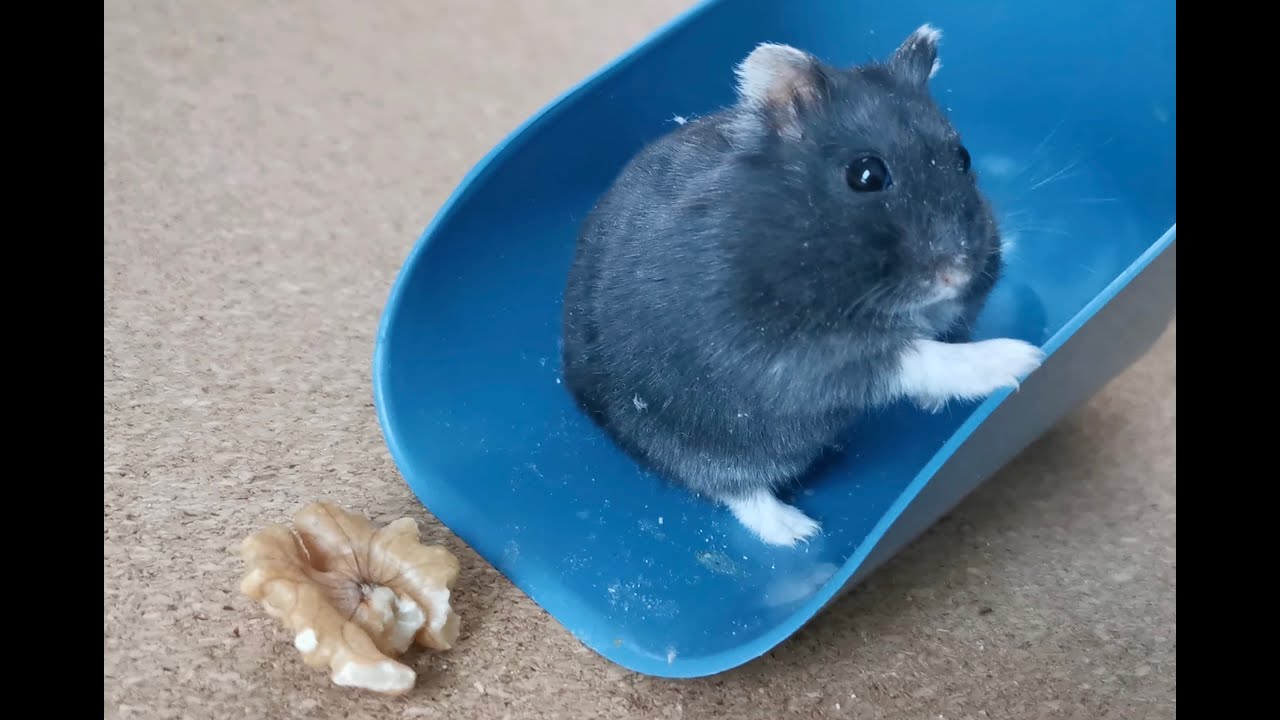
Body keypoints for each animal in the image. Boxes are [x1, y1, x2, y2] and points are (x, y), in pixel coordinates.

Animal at [560, 25, 1044, 547]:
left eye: (963, 157)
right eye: (866, 174)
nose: (957, 272)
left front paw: (938, 398)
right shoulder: (790, 356)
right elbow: (912, 357)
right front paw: (1021, 359)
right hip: (707, 446)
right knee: (733, 490)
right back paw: (799, 532)